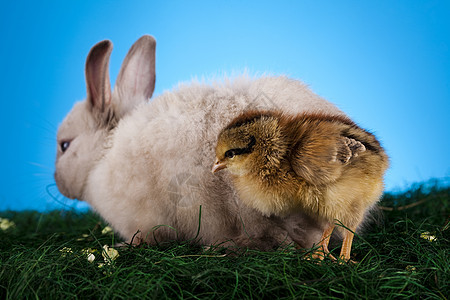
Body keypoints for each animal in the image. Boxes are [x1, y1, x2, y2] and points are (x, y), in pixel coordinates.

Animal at [55, 35, 344, 250]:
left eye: (64, 146)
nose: (58, 183)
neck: (105, 153)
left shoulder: (144, 218)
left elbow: (148, 236)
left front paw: (127, 245)